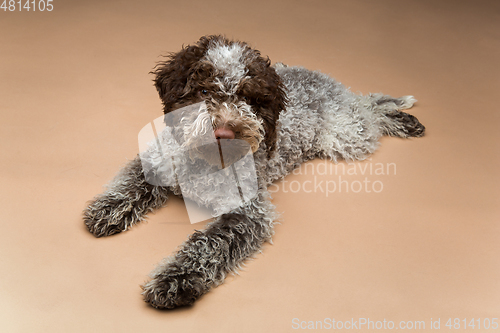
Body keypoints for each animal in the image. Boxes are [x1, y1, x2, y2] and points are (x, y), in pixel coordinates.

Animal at [84, 34, 424, 308]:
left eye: (248, 98)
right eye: (204, 92)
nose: (224, 132)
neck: (202, 163)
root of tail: (321, 76)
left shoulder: (247, 214)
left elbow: (208, 245)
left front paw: (175, 280)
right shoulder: (157, 163)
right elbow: (130, 184)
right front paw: (108, 208)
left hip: (347, 136)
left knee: (369, 109)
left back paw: (402, 117)